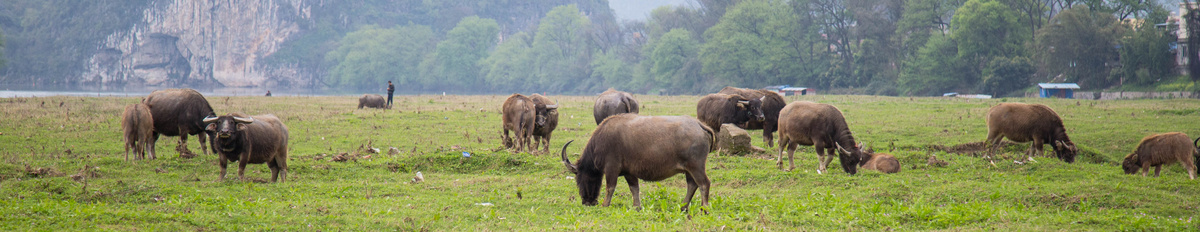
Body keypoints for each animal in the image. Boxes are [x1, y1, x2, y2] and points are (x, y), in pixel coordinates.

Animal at [559, 112, 715, 211]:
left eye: (580, 179)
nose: (587, 202)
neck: (601, 141)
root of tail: (698, 124)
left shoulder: (611, 169)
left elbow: (610, 187)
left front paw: (605, 205)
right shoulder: (629, 173)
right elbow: (634, 189)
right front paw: (637, 207)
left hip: (696, 167)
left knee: (704, 184)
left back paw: (705, 209)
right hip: (689, 170)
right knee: (692, 185)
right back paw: (683, 207)